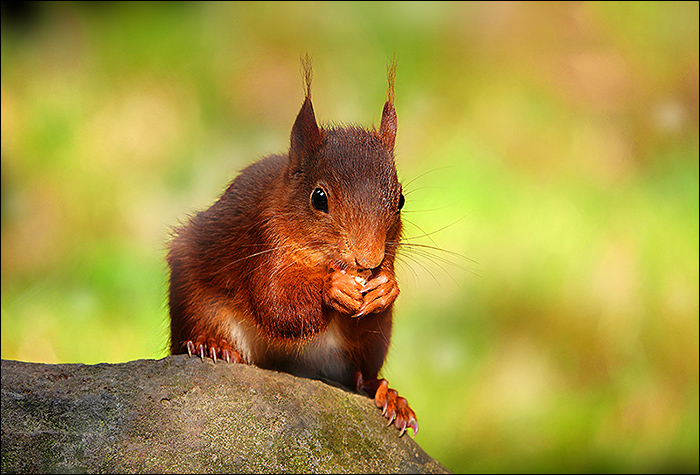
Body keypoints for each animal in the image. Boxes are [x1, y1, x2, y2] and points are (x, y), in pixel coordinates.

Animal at [167, 57, 417, 437]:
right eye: (319, 198)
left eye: (401, 200)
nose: (368, 260)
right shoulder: (263, 240)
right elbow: (275, 303)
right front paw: (332, 288)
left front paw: (386, 289)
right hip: (194, 300)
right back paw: (211, 345)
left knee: (361, 376)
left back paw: (390, 396)